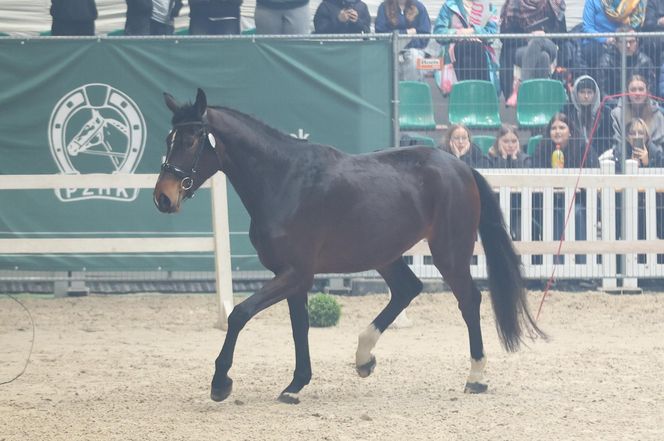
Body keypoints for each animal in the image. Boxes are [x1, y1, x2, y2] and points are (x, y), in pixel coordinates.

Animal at [154, 87, 544, 404]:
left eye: (191, 140)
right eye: (168, 138)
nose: (162, 197)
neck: (283, 180)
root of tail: (460, 168)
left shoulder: (294, 273)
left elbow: (239, 314)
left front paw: (220, 383)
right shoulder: (294, 276)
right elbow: (299, 327)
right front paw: (295, 385)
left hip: (448, 252)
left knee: (469, 300)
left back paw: (476, 376)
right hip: (384, 254)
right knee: (407, 288)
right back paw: (364, 358)